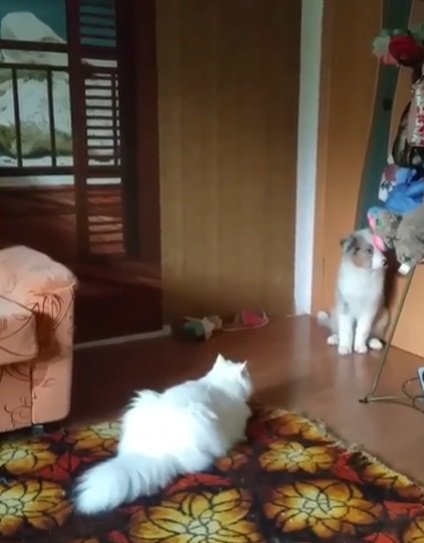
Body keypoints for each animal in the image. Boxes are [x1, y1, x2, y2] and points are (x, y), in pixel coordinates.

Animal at [318, 228, 390, 356]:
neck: (363, 273)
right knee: (337, 329)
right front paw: (345, 348)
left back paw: (375, 343)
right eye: (369, 250)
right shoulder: (345, 307)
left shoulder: (369, 308)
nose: (385, 262)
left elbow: (363, 330)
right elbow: (346, 331)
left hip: (384, 316)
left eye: (382, 250)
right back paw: (334, 338)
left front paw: (360, 347)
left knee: (372, 335)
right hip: (336, 311)